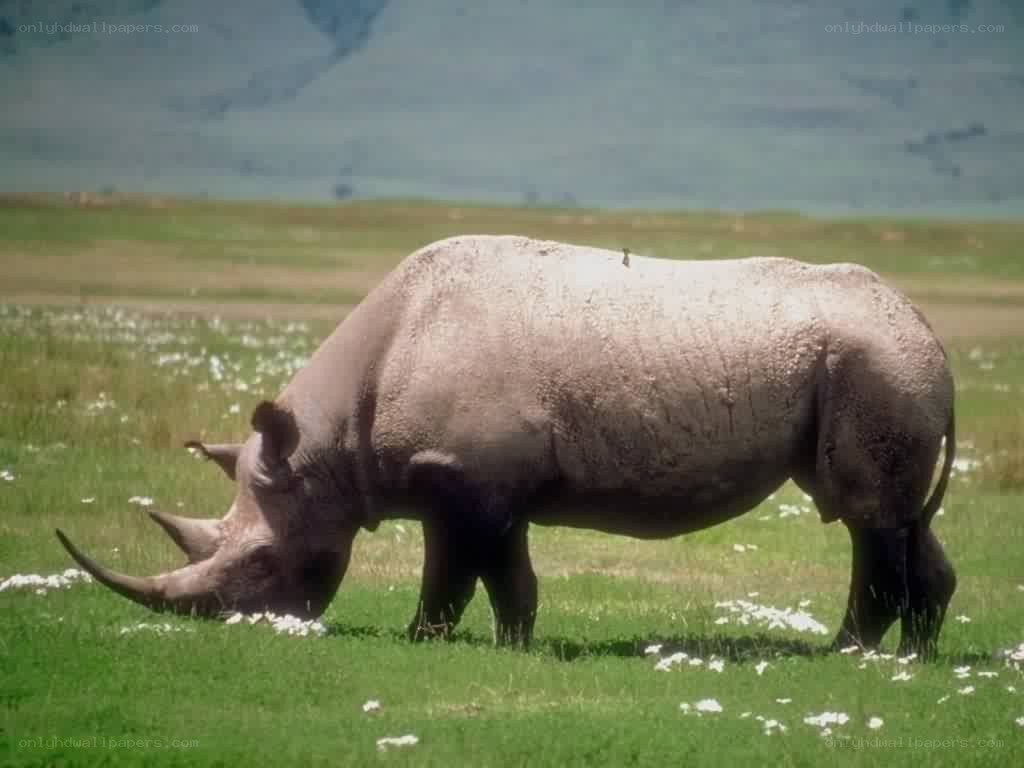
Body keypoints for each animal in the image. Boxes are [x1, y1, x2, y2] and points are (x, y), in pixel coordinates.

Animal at [57, 235, 958, 657]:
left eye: (259, 563)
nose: (245, 625)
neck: (326, 447)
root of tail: (931, 333)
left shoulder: (469, 479)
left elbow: (458, 574)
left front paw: (423, 642)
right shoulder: (472, 481)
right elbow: (503, 576)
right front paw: (515, 644)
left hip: (873, 364)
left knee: (866, 515)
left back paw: (842, 654)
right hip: (884, 363)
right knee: (902, 518)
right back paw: (913, 656)